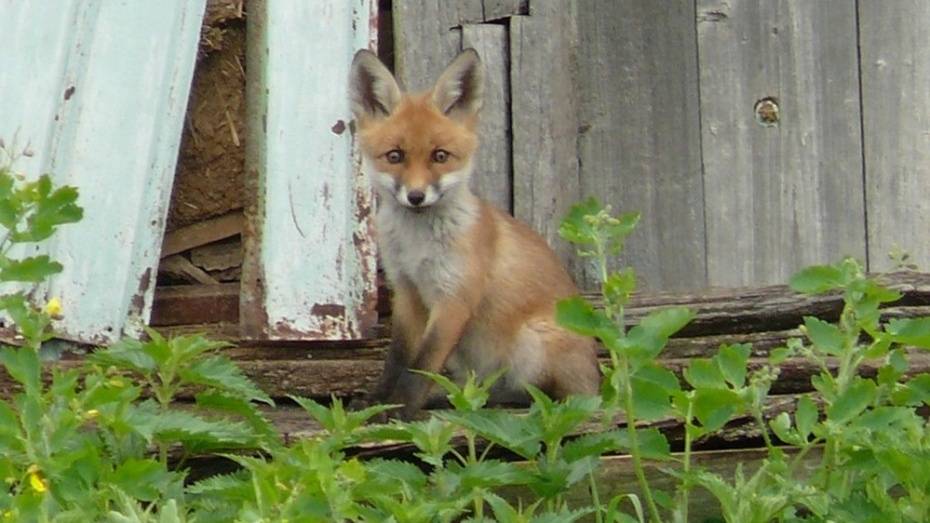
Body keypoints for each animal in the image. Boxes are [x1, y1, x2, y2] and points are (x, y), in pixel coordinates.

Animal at [348, 47, 600, 420]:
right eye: (395, 156)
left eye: (440, 156)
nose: (416, 196)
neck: (417, 247)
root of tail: (598, 381)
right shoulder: (407, 292)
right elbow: (398, 360)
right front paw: (377, 404)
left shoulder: (455, 298)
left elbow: (421, 366)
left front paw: (400, 412)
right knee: (485, 392)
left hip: (532, 344)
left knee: (547, 398)